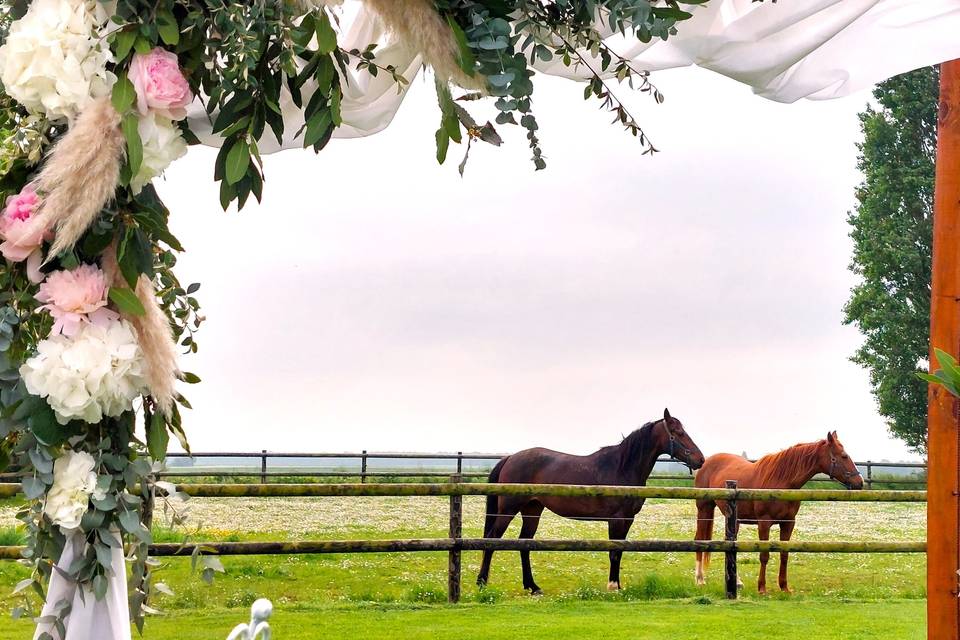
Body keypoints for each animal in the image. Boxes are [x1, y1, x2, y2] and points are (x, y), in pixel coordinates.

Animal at [474, 410, 704, 596]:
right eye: (678, 433)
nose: (700, 459)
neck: (622, 467)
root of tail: (510, 458)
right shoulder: (616, 520)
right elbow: (614, 552)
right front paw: (613, 586)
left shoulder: (628, 519)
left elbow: (620, 551)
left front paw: (618, 585)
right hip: (508, 510)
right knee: (492, 539)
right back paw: (482, 582)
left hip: (532, 510)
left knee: (525, 544)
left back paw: (533, 586)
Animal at [688, 432, 864, 592]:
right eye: (844, 456)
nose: (860, 482)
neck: (782, 482)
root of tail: (706, 462)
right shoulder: (764, 523)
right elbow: (764, 555)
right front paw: (762, 588)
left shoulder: (788, 523)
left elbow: (784, 554)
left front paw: (784, 587)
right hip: (704, 509)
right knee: (700, 539)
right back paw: (699, 579)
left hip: (733, 519)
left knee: (730, 545)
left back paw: (736, 582)